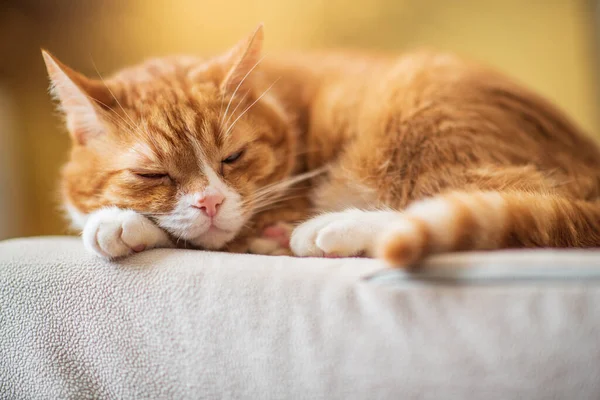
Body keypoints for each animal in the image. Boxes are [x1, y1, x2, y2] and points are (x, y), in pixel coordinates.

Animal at [43, 24, 600, 266]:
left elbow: (210, 236)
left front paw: (118, 224)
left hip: (420, 127)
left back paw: (335, 229)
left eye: (233, 157)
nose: (211, 202)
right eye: (152, 175)